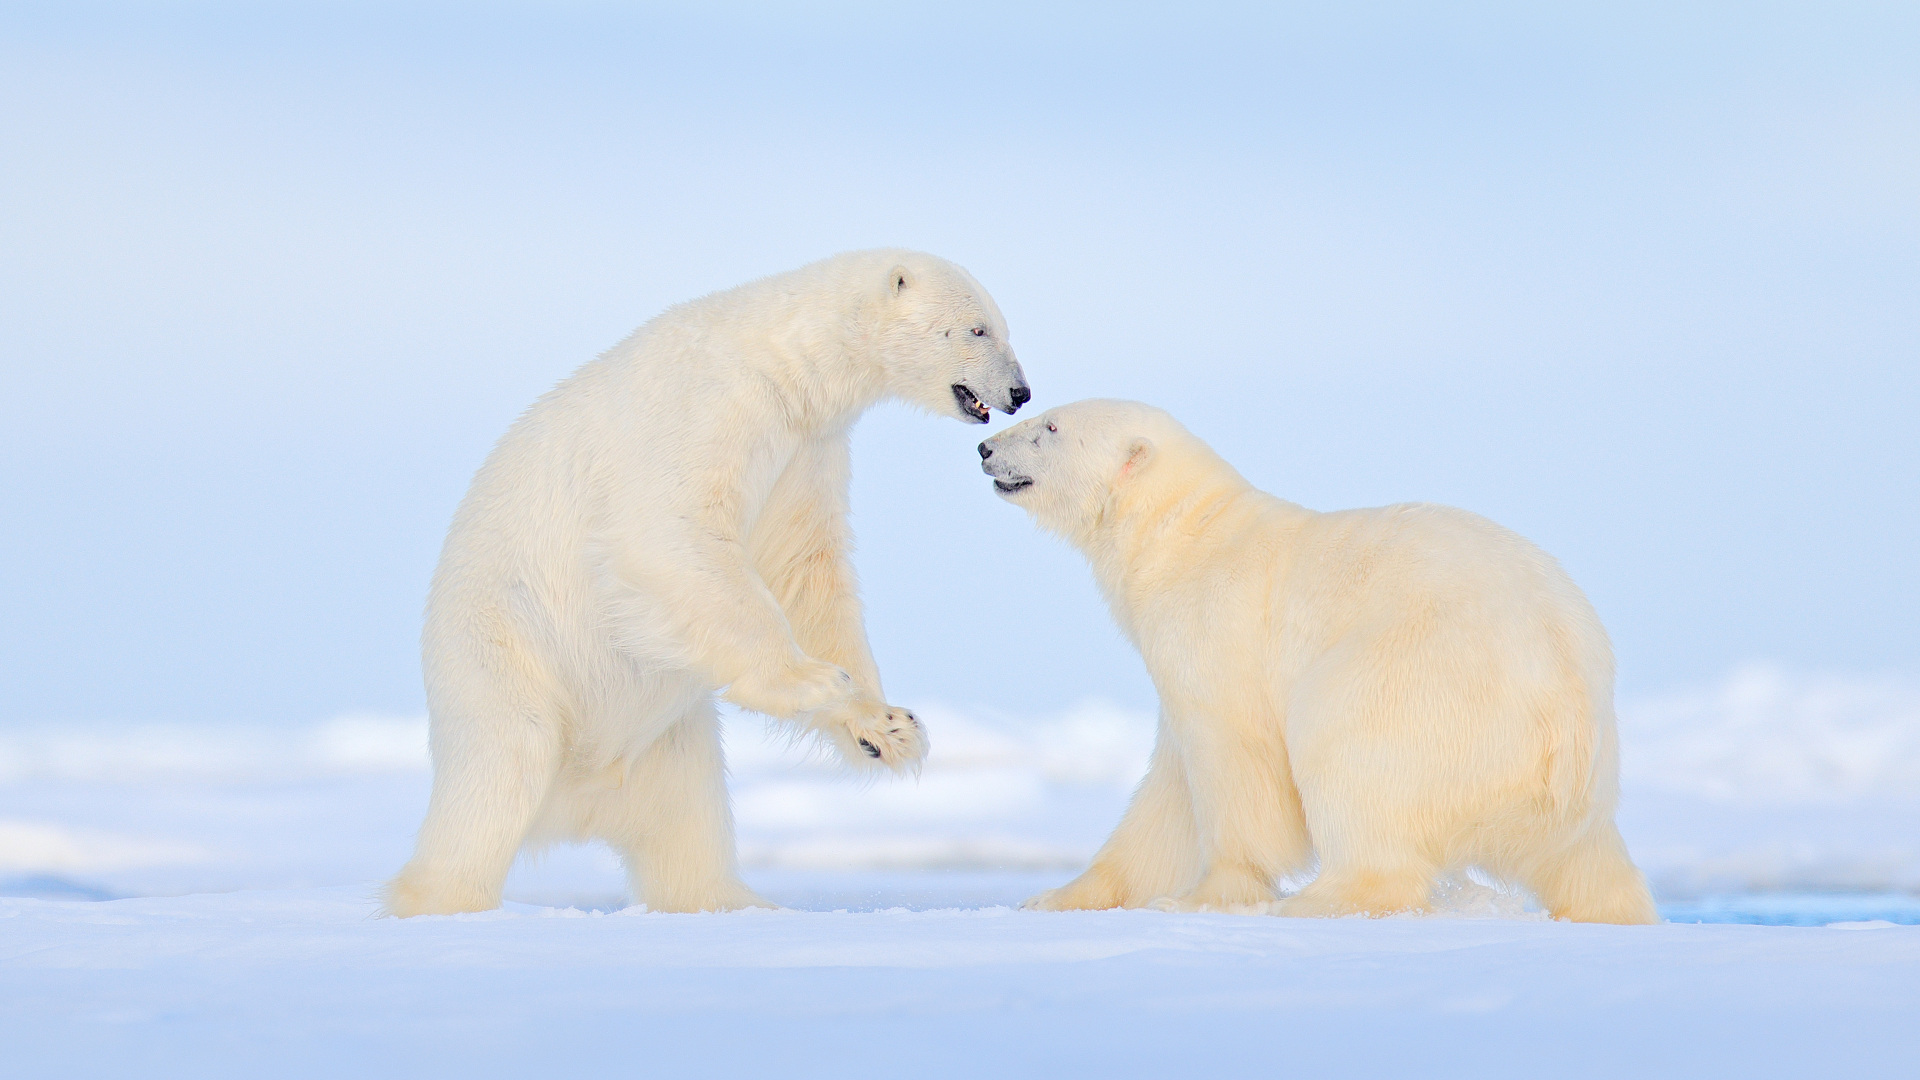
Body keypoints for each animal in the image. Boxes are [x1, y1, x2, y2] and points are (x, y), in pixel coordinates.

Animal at [380, 247, 1029, 910]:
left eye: (1000, 326)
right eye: (979, 328)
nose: (1020, 392)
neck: (785, 364)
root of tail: (575, 804)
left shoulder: (805, 452)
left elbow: (802, 571)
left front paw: (889, 728)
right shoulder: (708, 411)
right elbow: (673, 532)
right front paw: (813, 681)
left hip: (672, 741)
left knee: (689, 824)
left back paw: (738, 900)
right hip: (503, 656)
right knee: (500, 775)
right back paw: (443, 896)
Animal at [983, 399, 1658, 922]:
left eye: (1050, 427)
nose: (987, 447)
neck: (1183, 533)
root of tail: (1565, 712)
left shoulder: (1216, 628)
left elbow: (1235, 760)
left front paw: (1206, 896)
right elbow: (1166, 795)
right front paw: (1056, 897)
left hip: (1423, 683)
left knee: (1346, 750)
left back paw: (1318, 899)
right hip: (1572, 783)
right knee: (1588, 861)